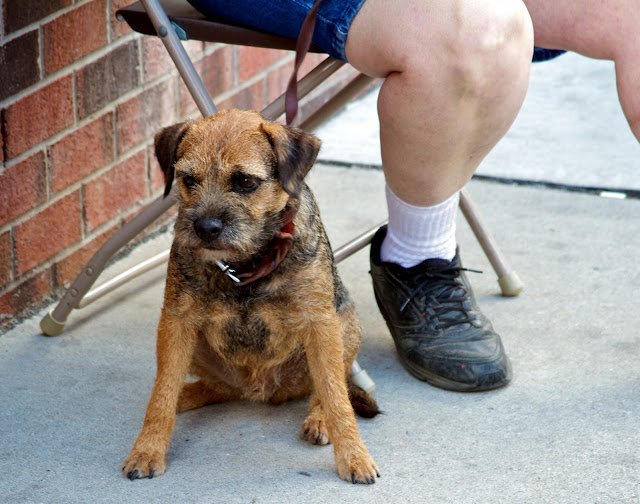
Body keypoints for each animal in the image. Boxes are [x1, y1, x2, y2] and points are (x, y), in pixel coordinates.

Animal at [122, 108, 378, 482]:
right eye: (188, 179)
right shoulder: (177, 321)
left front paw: (354, 457)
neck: (246, 263)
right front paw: (147, 449)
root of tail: (259, 388)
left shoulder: (320, 323)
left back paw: (318, 420)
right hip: (196, 346)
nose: (205, 228)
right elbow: (163, 391)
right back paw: (184, 396)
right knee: (209, 387)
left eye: (245, 182)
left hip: (345, 325)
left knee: (329, 386)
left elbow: (334, 394)